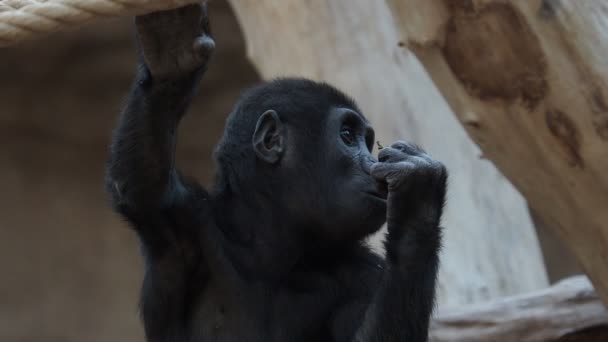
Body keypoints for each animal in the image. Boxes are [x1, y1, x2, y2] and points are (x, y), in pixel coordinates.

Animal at [105, 3, 446, 342]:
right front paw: (171, 62)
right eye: (348, 136)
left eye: (367, 141)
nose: (368, 161)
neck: (273, 244)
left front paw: (418, 204)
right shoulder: (181, 223)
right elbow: (142, 186)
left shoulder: (364, 275)